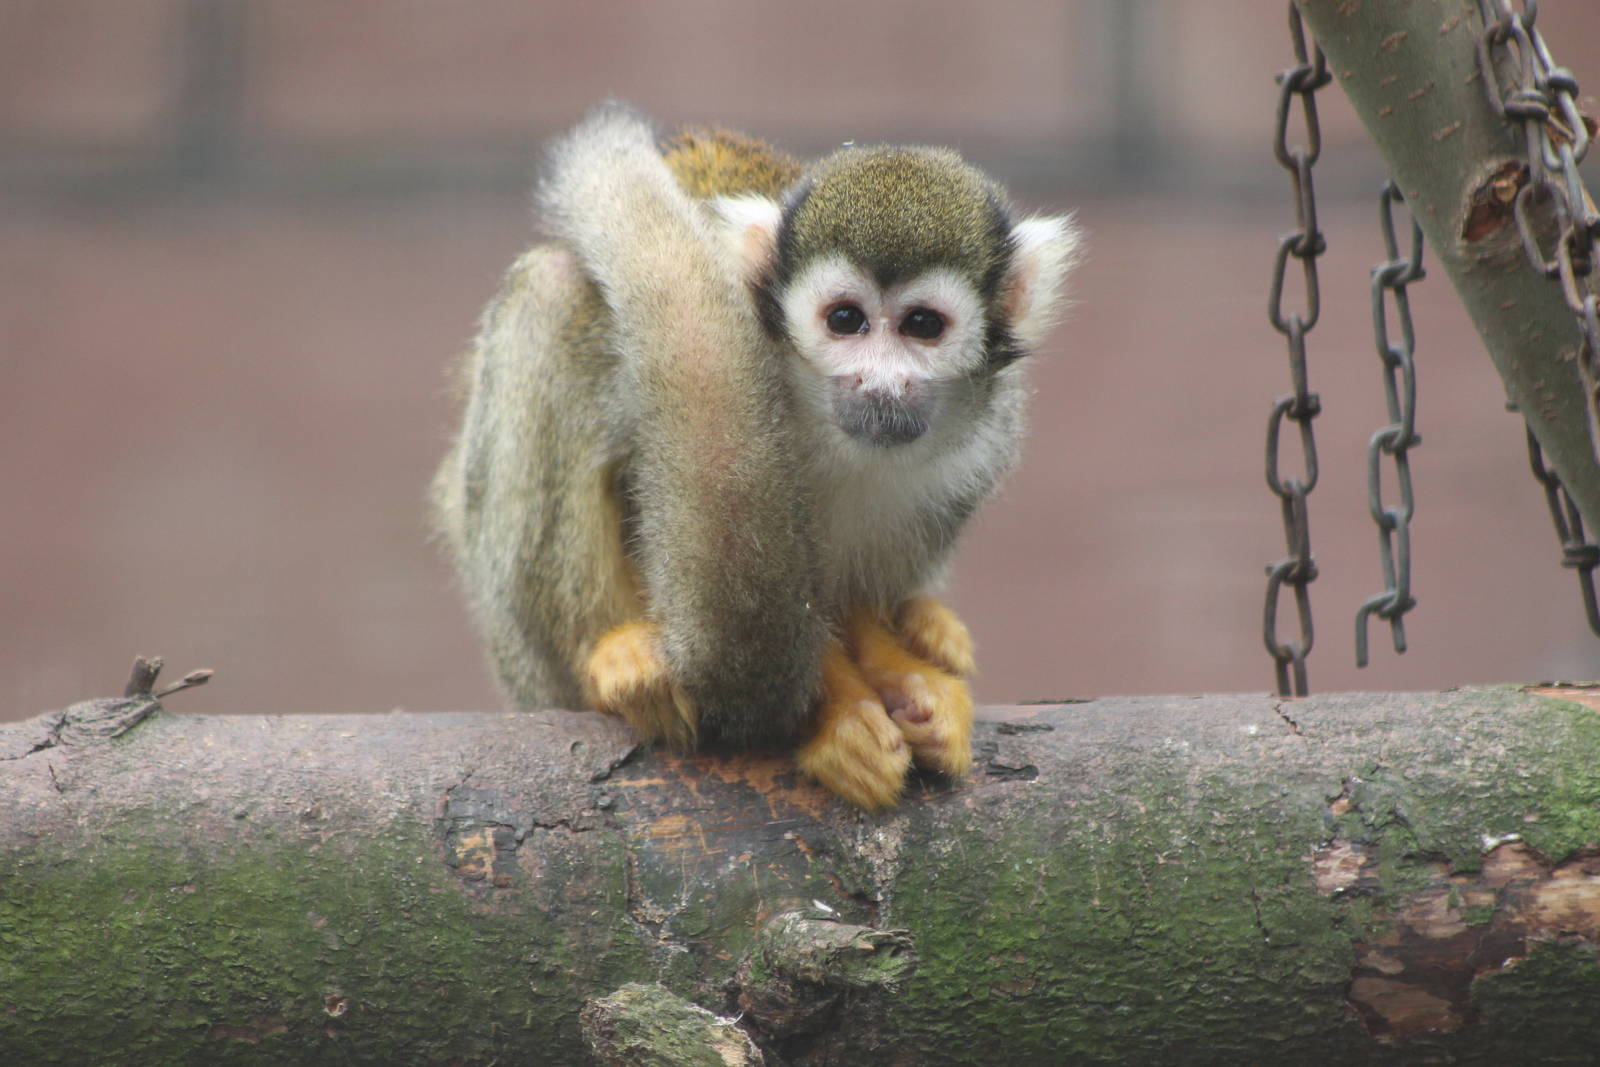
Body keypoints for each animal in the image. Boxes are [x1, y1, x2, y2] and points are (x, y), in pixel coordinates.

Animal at [431, 104, 1080, 809]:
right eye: (846, 320)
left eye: (923, 327)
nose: (880, 385)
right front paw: (840, 713)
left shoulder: (990, 432)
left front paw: (900, 672)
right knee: (553, 292)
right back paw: (615, 656)